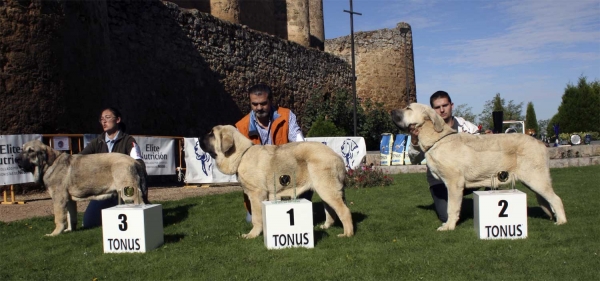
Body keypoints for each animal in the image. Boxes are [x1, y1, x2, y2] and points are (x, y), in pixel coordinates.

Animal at [199, 126, 354, 237]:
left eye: (211, 134)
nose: (199, 137)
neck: (241, 155)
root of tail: (338, 157)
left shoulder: (256, 195)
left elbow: (256, 218)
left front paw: (252, 235)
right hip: (324, 190)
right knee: (331, 211)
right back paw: (326, 226)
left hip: (327, 189)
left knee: (344, 210)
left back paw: (347, 234)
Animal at [392, 103, 564, 230]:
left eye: (408, 108)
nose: (391, 111)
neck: (437, 138)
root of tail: (541, 143)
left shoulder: (454, 183)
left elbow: (451, 208)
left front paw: (448, 226)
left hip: (535, 178)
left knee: (556, 199)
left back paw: (561, 221)